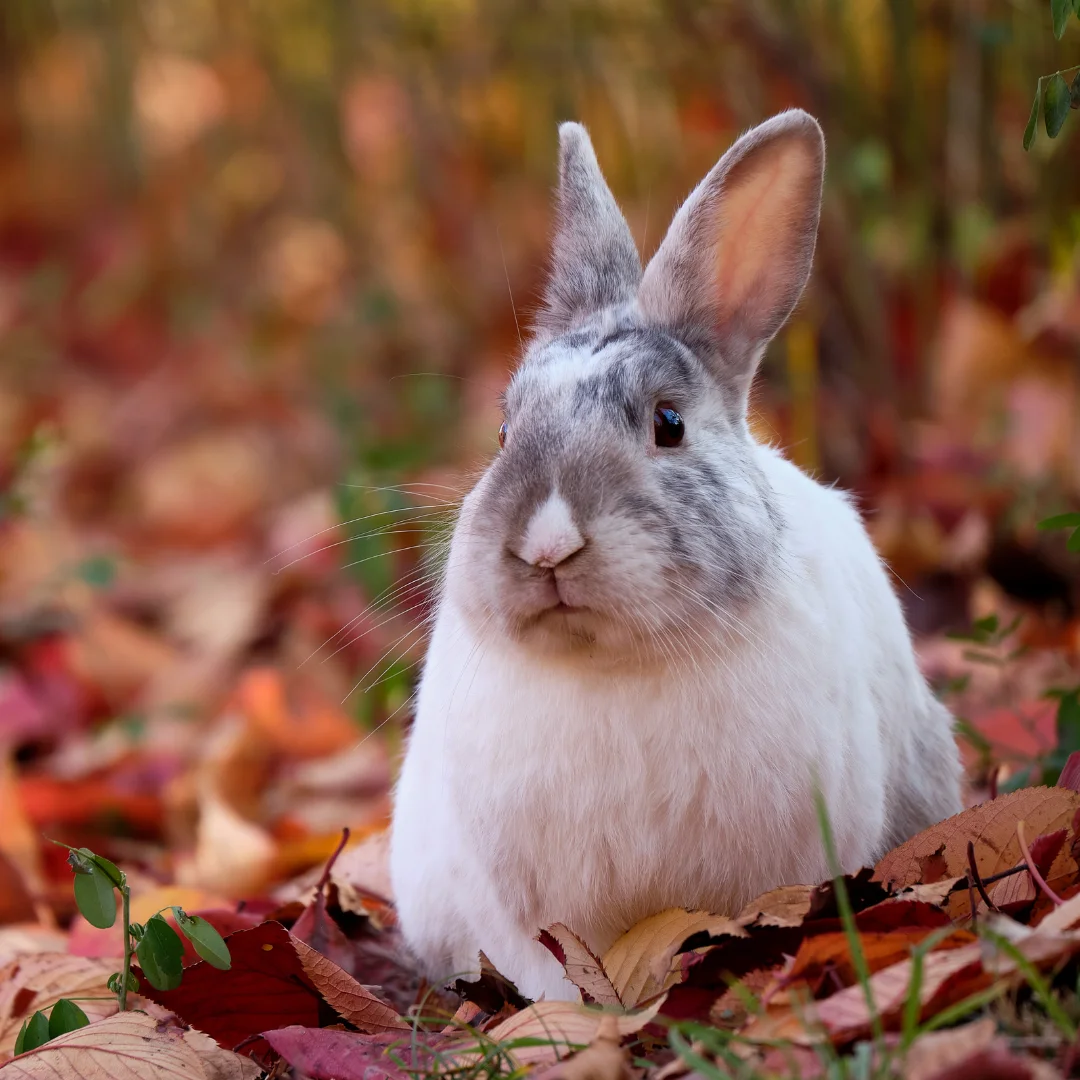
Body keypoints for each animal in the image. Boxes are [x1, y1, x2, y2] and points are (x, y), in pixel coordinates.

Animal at [389, 110, 962, 1003]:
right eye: (505, 431)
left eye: (669, 424)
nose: (547, 543)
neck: (611, 664)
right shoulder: (528, 911)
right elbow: (549, 969)